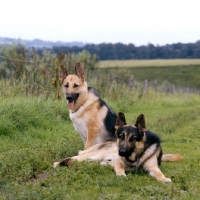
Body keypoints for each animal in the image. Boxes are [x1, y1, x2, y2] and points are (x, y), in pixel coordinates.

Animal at [53, 112, 183, 183]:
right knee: (73, 158)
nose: (121, 152)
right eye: (121, 136)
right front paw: (121, 175)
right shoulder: (118, 162)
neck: (136, 158)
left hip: (94, 160)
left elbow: (159, 173)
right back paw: (57, 163)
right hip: (94, 155)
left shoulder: (153, 168)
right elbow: (120, 169)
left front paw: (164, 178)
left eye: (133, 138)